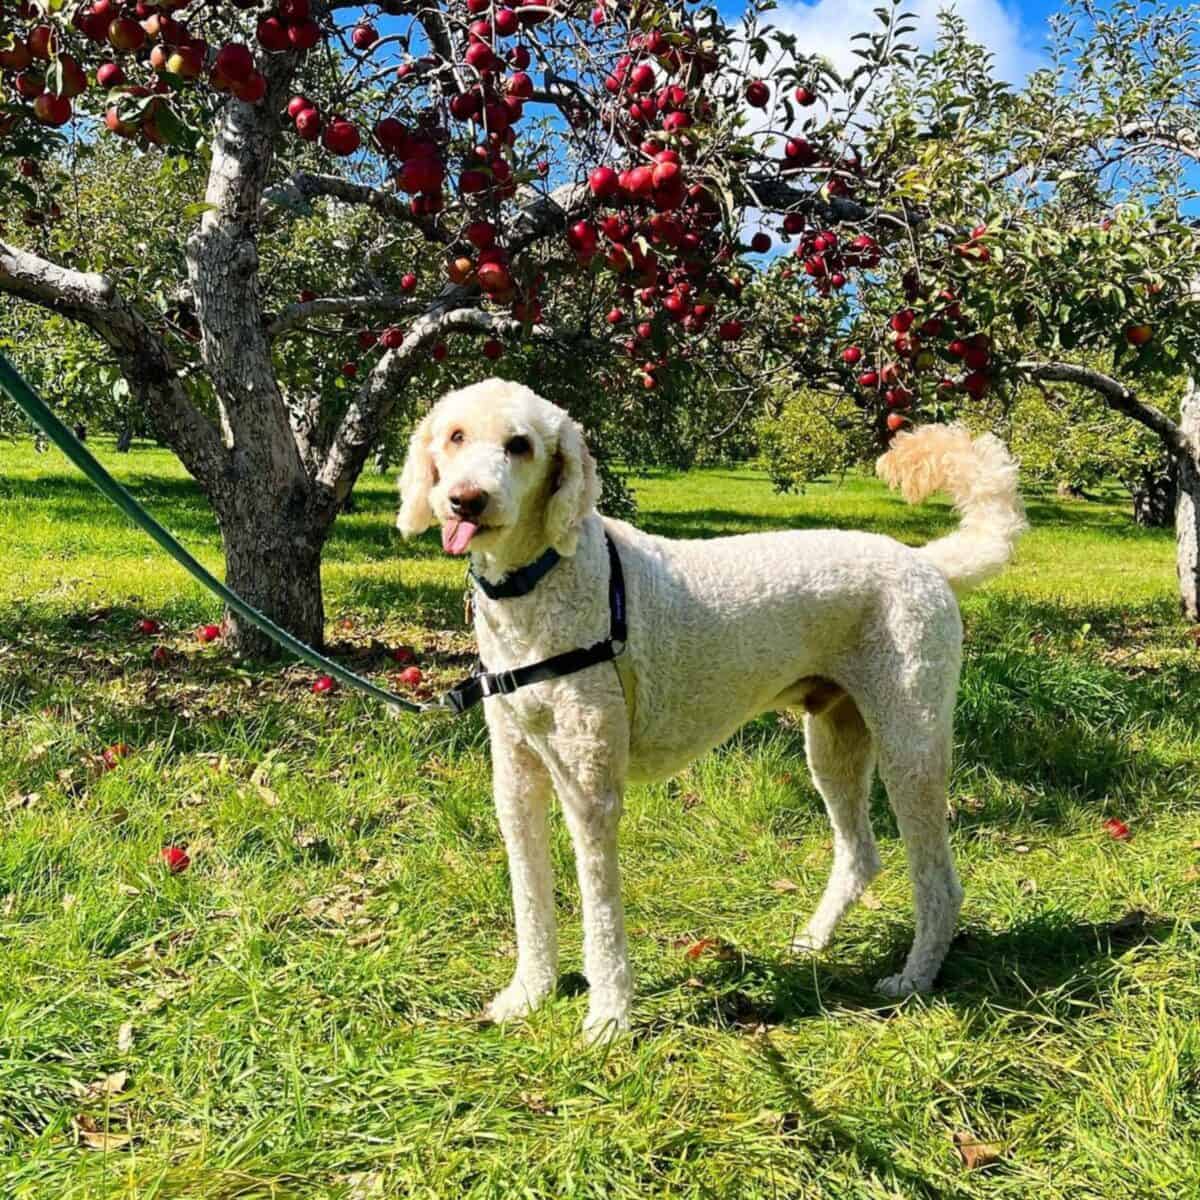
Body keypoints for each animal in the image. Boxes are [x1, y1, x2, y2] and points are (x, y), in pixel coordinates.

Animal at [398, 379, 1027, 1036]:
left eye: (519, 445)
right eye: (455, 436)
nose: (465, 501)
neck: (546, 581)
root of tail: (927, 563)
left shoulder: (591, 788)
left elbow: (601, 913)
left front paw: (608, 1018)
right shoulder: (517, 777)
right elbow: (529, 895)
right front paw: (529, 993)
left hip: (911, 743)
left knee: (938, 882)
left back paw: (914, 978)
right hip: (834, 743)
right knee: (860, 855)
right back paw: (814, 941)